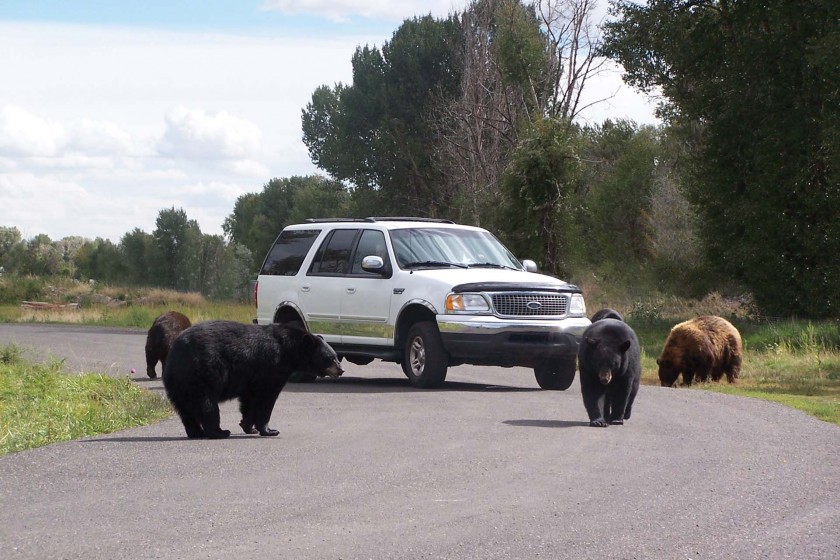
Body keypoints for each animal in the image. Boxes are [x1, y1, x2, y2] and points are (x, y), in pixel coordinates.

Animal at [162, 320, 343, 439]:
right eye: (330, 358)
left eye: (335, 356)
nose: (341, 370)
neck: (288, 349)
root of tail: (176, 354)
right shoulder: (271, 367)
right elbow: (266, 398)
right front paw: (269, 430)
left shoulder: (251, 378)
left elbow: (248, 400)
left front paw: (248, 427)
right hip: (204, 373)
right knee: (206, 404)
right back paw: (219, 432)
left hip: (177, 383)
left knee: (185, 409)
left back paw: (196, 432)